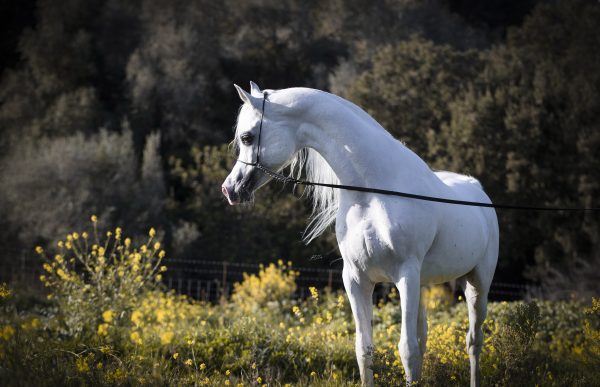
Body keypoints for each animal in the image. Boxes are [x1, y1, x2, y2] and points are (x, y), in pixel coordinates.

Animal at [223, 83, 500, 386]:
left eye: (247, 137)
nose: (230, 189)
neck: (374, 192)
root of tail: (478, 190)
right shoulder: (356, 279)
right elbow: (365, 350)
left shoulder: (405, 275)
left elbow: (407, 350)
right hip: (424, 285)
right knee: (425, 337)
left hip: (477, 283)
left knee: (473, 341)